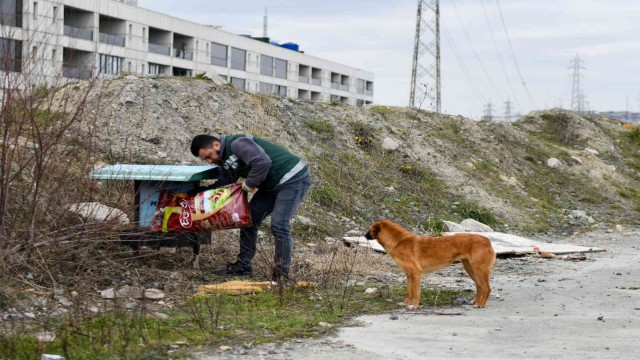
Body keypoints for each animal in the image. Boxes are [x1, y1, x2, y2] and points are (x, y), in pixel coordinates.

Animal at [364, 221, 496, 308]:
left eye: (369, 229)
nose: (364, 236)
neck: (399, 242)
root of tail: (487, 241)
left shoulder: (415, 273)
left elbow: (415, 292)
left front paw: (414, 306)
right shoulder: (409, 275)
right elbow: (408, 292)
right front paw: (405, 303)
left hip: (479, 270)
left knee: (487, 288)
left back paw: (480, 305)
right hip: (470, 269)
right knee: (479, 287)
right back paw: (476, 302)